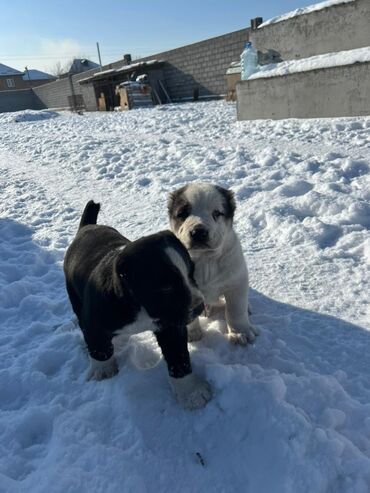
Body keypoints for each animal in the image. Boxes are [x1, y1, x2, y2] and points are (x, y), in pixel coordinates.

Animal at [63, 198, 211, 410]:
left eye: (191, 273)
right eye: (166, 287)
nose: (199, 307)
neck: (139, 305)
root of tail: (87, 227)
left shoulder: (171, 326)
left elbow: (179, 358)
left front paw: (190, 392)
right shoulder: (93, 321)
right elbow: (99, 348)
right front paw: (103, 370)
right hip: (74, 296)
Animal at [168, 182, 258, 346]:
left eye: (217, 213)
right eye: (183, 213)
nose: (198, 232)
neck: (205, 259)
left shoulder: (236, 281)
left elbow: (236, 310)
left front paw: (240, 332)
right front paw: (191, 333)